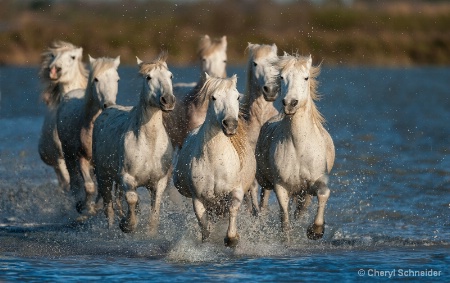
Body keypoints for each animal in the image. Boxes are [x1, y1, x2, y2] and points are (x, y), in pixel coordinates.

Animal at [92, 53, 175, 235]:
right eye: (148, 77)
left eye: (170, 76)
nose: (167, 100)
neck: (149, 142)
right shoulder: (127, 178)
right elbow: (131, 199)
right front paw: (127, 225)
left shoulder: (159, 183)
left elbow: (154, 212)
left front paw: (150, 233)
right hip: (104, 177)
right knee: (109, 207)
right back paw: (111, 229)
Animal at [174, 74, 255, 247]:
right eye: (213, 97)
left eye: (237, 97)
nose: (230, 125)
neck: (215, 161)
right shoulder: (198, 198)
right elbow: (204, 226)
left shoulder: (236, 191)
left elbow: (233, 209)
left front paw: (232, 239)